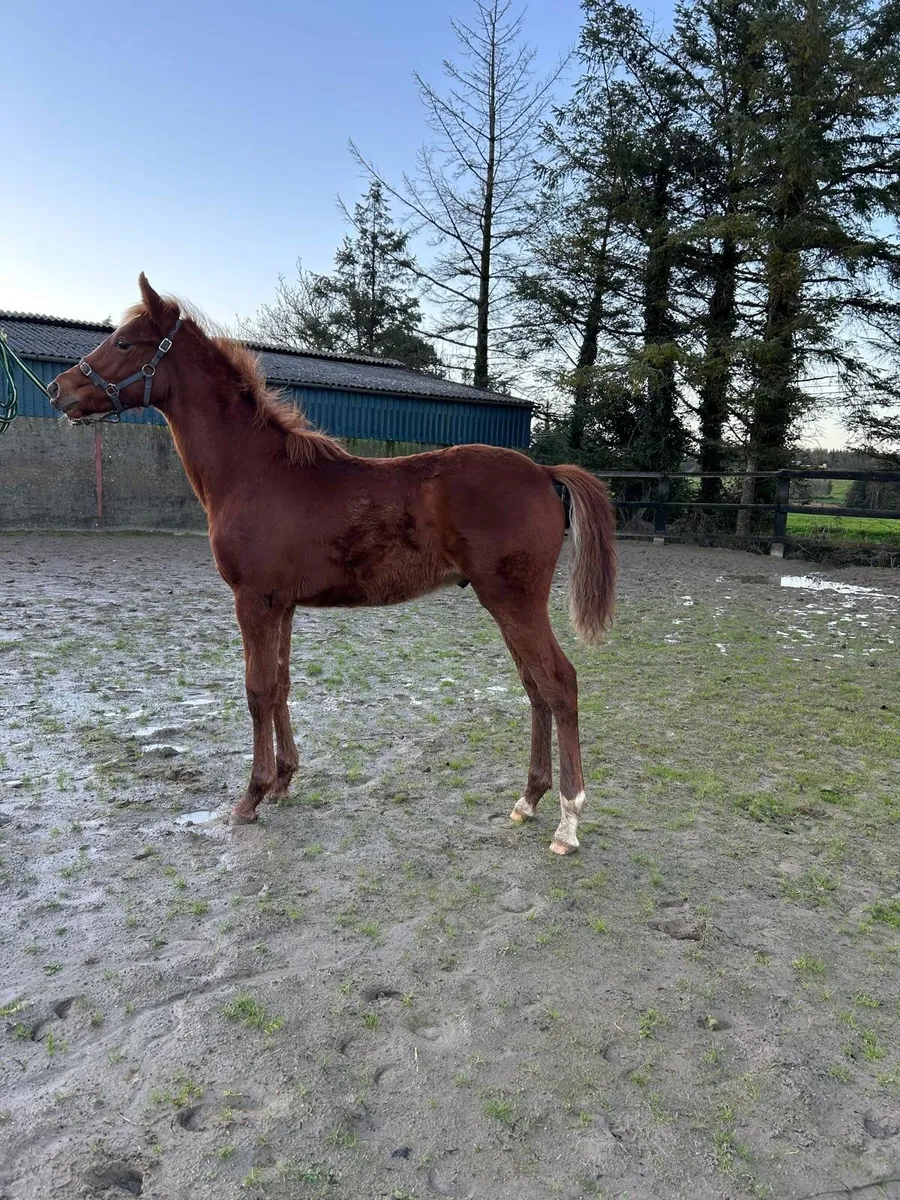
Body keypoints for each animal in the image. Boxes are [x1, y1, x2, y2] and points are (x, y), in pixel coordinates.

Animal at [48, 275, 617, 855]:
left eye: (124, 343)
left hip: (513, 601)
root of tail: (543, 471)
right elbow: (280, 684)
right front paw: (282, 781)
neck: (255, 470)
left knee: (559, 683)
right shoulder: (282, 605)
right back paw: (528, 800)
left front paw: (251, 797)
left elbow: (256, 690)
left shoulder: (252, 601)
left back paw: (568, 821)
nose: (58, 389)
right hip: (506, 604)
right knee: (535, 687)